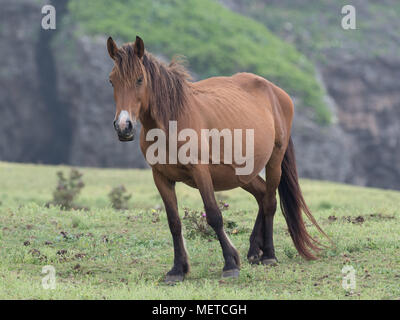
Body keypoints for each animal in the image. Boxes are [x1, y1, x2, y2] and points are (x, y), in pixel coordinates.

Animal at [105, 36, 328, 284]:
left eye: (139, 79)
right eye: (112, 81)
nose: (123, 126)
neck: (171, 122)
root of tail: (277, 92)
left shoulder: (201, 172)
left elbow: (214, 215)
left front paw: (230, 263)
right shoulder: (161, 177)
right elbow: (174, 222)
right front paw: (177, 269)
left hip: (274, 161)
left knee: (270, 202)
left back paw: (269, 254)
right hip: (242, 173)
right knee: (262, 196)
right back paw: (254, 250)